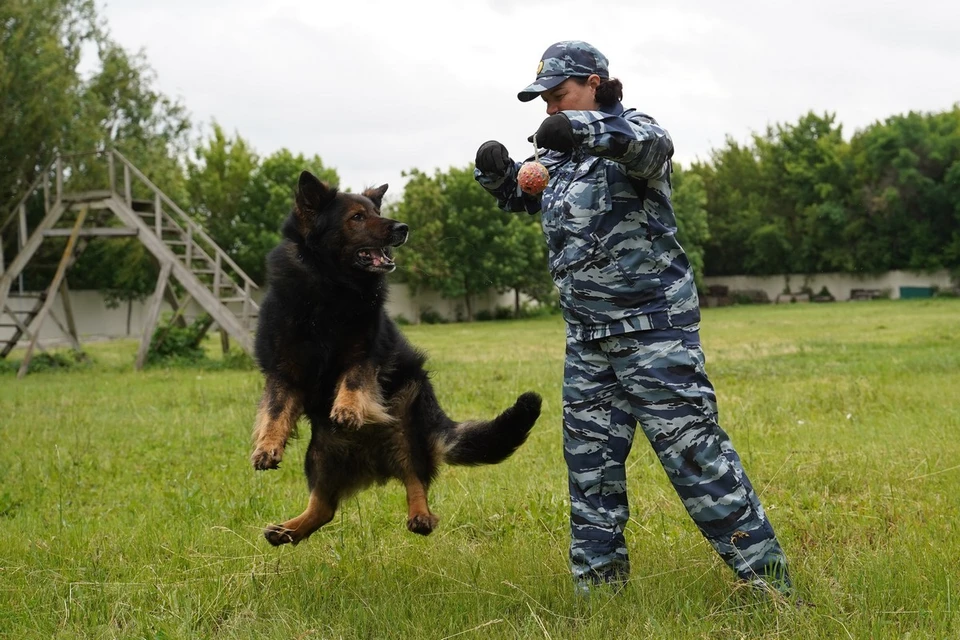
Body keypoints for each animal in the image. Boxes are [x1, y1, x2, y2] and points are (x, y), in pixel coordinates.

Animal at [251, 172, 544, 548]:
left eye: (376, 212)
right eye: (357, 217)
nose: (402, 228)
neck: (331, 287)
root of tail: (373, 462)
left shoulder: (365, 352)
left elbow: (354, 378)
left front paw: (347, 408)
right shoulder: (284, 369)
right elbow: (275, 410)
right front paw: (267, 446)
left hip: (405, 431)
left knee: (414, 478)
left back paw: (420, 515)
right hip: (320, 455)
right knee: (324, 508)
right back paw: (288, 530)